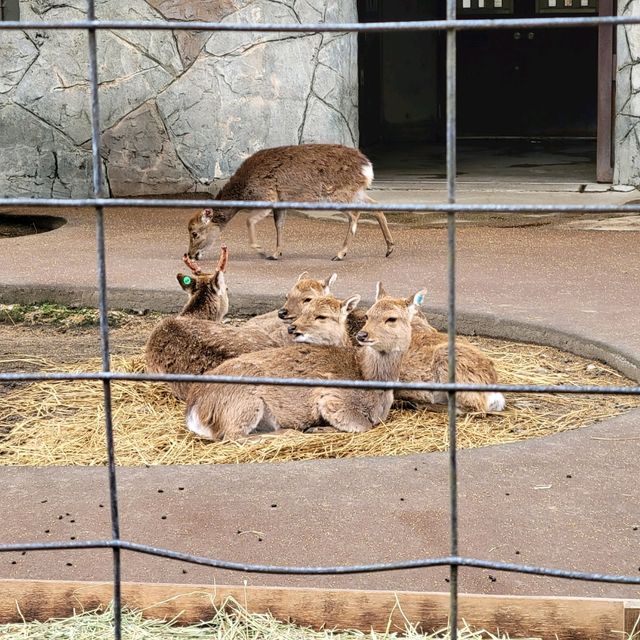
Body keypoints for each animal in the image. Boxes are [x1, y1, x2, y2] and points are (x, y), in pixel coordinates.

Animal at [182, 284, 422, 440]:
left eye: (391, 318)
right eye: (368, 315)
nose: (362, 335)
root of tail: (194, 411)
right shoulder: (332, 399)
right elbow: (363, 426)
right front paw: (318, 429)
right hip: (245, 403)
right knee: (233, 436)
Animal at [186, 145, 396, 262]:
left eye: (194, 233)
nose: (190, 254)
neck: (245, 188)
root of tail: (367, 167)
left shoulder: (267, 196)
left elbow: (249, 220)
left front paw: (262, 251)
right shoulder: (281, 202)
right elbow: (279, 225)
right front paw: (276, 253)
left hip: (339, 193)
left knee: (355, 214)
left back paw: (340, 253)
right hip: (356, 191)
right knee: (376, 206)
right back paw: (389, 248)